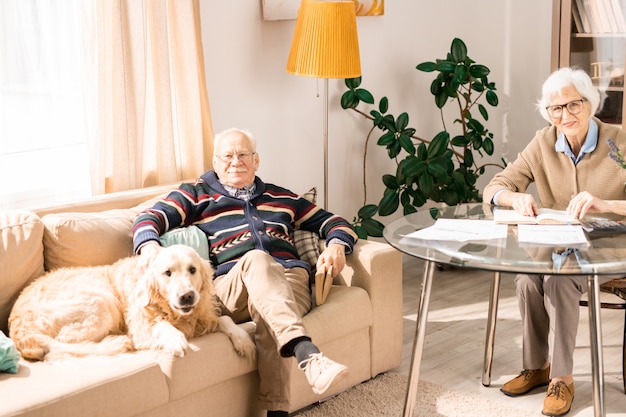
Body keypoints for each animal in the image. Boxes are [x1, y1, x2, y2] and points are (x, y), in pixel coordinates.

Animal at [7, 244, 256, 360]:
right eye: (167, 273)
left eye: (192, 270)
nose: (187, 296)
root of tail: (18, 330)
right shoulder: (141, 327)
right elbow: (161, 326)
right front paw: (176, 339)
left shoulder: (203, 316)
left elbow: (224, 319)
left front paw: (242, 339)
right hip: (101, 301)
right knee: (65, 344)